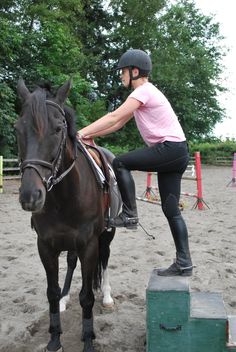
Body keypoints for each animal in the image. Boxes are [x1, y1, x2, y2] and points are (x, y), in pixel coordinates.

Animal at [16, 80, 121, 352]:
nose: (30, 195)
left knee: (105, 260)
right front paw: (54, 339)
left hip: (107, 235)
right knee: (72, 263)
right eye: (18, 128)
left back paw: (107, 296)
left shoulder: (89, 245)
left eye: (57, 128)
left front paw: (88, 341)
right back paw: (65, 298)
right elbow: (51, 293)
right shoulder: (46, 246)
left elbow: (87, 297)